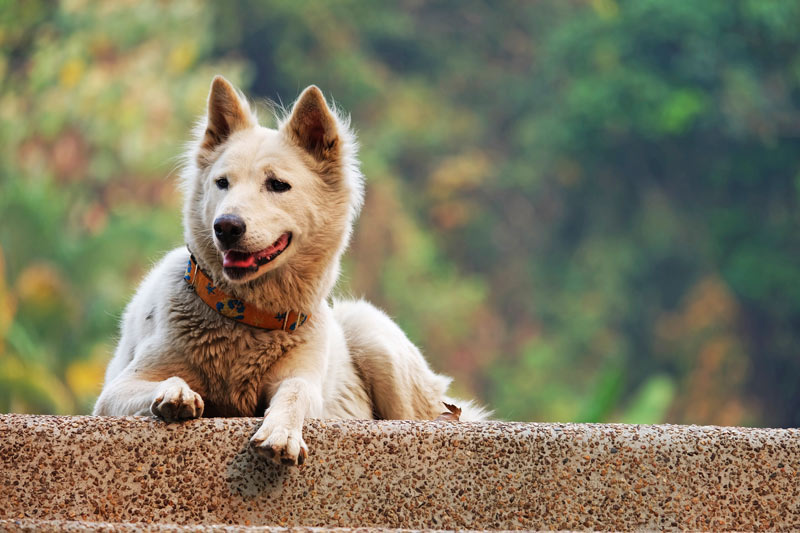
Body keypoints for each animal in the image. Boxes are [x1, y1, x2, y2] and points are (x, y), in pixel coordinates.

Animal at [90, 77, 484, 464]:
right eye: (222, 183)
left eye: (277, 184)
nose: (225, 226)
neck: (244, 316)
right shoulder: (113, 394)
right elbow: (162, 383)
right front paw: (176, 393)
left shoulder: (304, 382)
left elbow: (294, 392)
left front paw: (281, 433)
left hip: (372, 335)